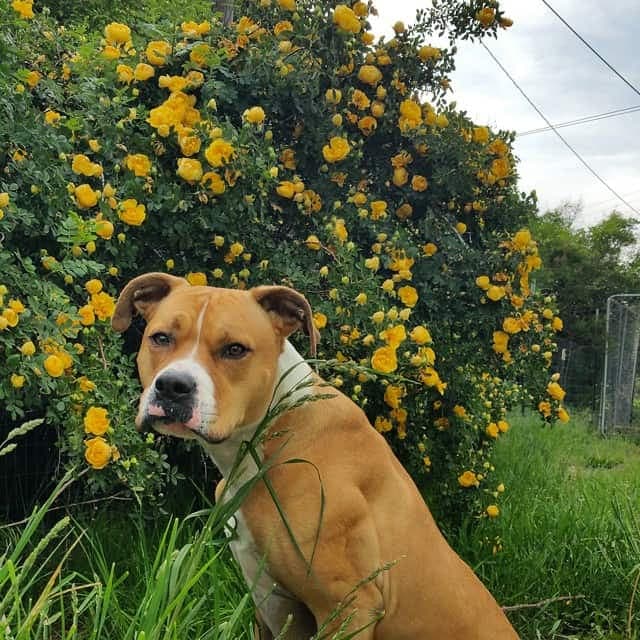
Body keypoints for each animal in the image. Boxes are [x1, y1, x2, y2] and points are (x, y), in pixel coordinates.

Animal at [112, 272, 516, 636]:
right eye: (160, 338)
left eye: (235, 349)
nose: (172, 386)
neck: (270, 437)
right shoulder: (271, 602)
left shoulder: (350, 605)